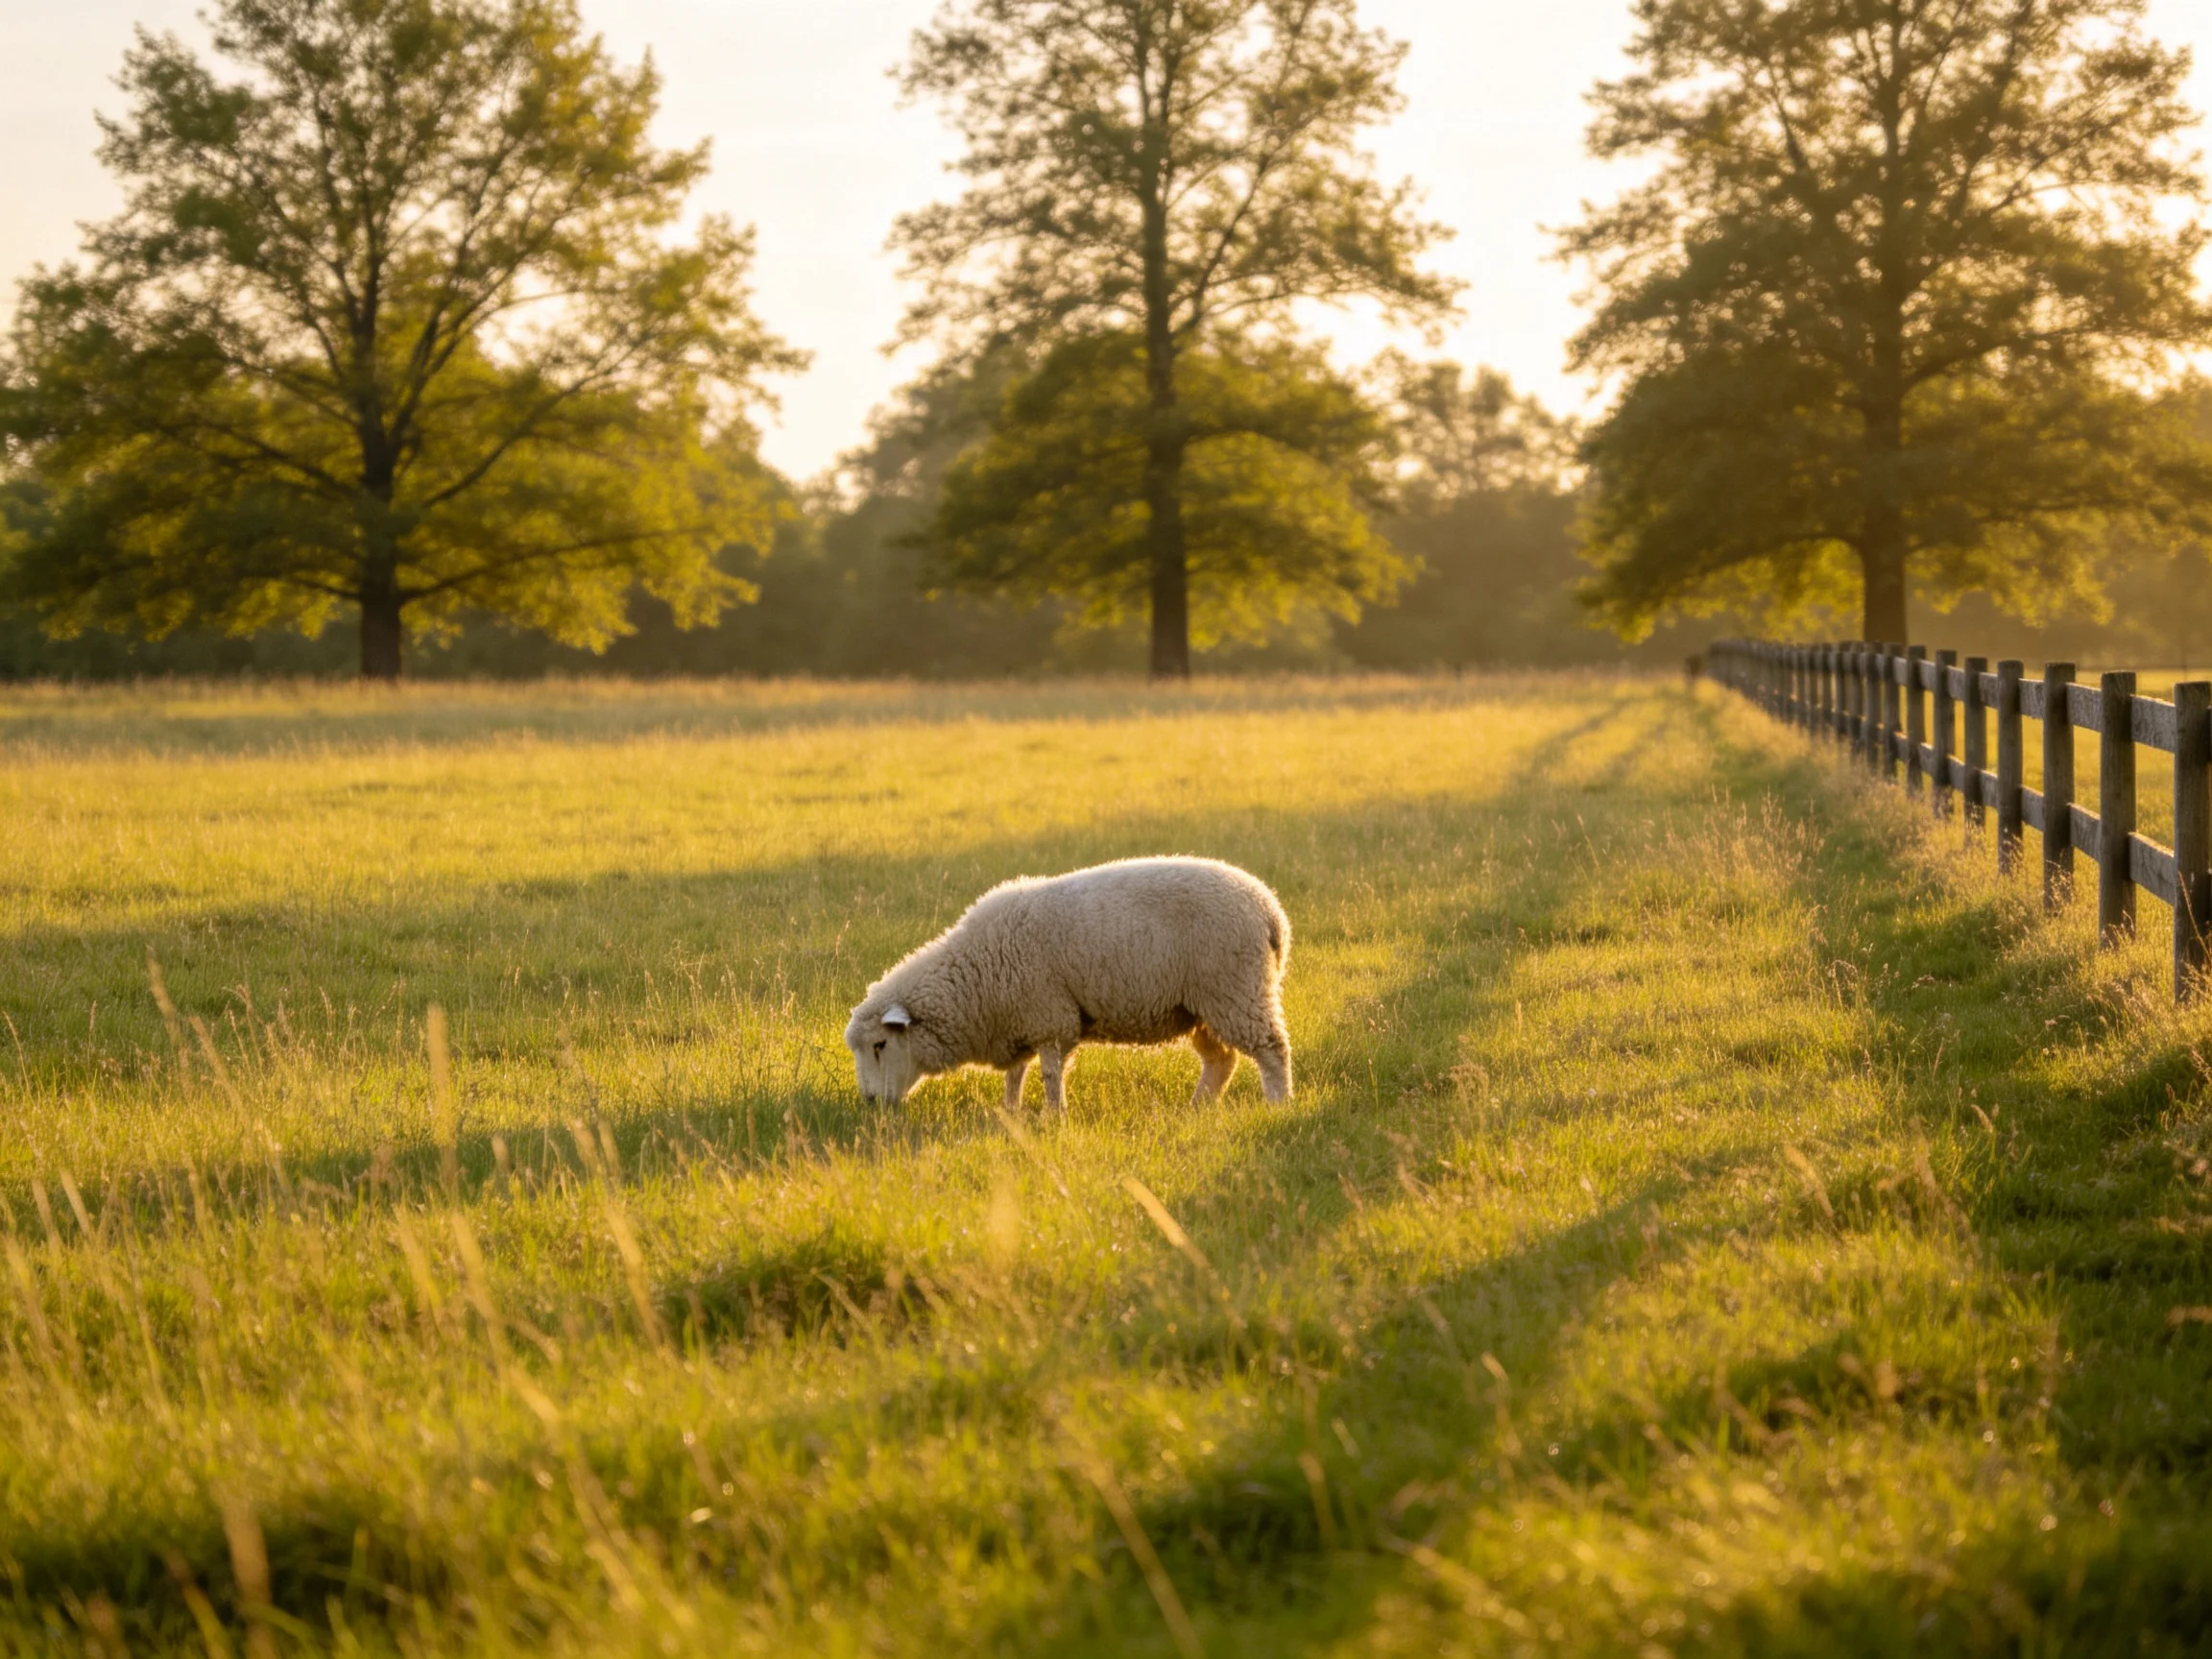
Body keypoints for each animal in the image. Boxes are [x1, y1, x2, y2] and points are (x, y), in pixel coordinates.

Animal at [844, 856, 1292, 1113]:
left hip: (1236, 990)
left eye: (880, 1045)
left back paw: (1278, 1104)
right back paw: (1197, 1108)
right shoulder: (1020, 1022)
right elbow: (1016, 1074)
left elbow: (1049, 1074)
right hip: (1202, 1006)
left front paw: (1053, 1116)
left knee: (1272, 1050)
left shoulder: (1050, 1019)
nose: (870, 1103)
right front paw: (1011, 1112)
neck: (977, 976)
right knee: (1221, 1060)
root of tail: (1272, 912)